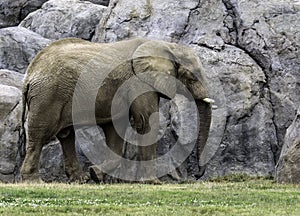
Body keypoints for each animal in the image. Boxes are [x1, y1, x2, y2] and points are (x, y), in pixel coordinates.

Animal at [19, 37, 213, 182]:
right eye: (192, 77)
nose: (197, 175)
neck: (166, 45)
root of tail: (29, 73)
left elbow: (116, 130)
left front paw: (96, 175)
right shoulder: (138, 81)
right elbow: (146, 123)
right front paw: (153, 182)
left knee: (66, 135)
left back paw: (81, 179)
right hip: (47, 95)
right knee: (40, 135)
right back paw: (35, 181)